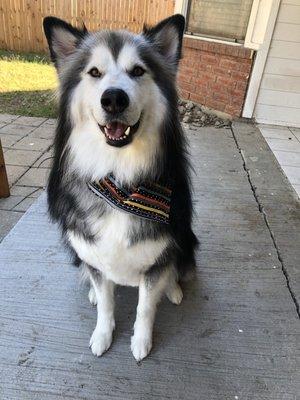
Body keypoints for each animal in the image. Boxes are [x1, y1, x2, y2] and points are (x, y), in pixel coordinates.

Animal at [42, 14, 197, 360]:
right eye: (94, 72)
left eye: (138, 71)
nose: (113, 98)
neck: (118, 178)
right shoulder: (94, 255)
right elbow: (107, 302)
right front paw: (103, 333)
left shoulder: (158, 258)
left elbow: (145, 307)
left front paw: (141, 341)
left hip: (185, 239)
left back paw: (174, 290)